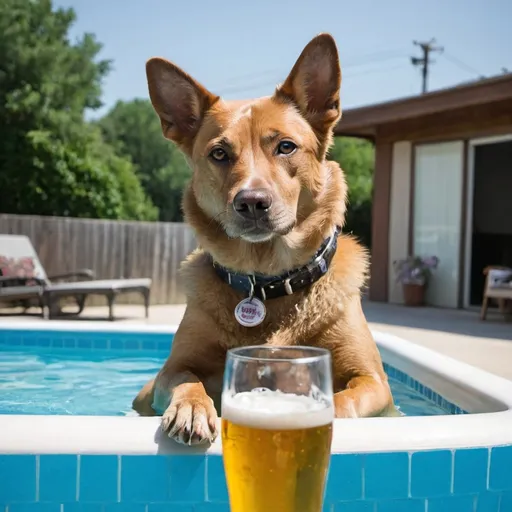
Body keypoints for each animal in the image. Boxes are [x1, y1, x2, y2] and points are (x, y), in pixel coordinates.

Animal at [133, 34, 396, 446]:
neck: (268, 279)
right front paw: (192, 408)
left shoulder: (373, 381)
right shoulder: (172, 369)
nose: (252, 202)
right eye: (219, 153)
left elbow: (345, 399)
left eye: (286, 146)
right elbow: (188, 381)